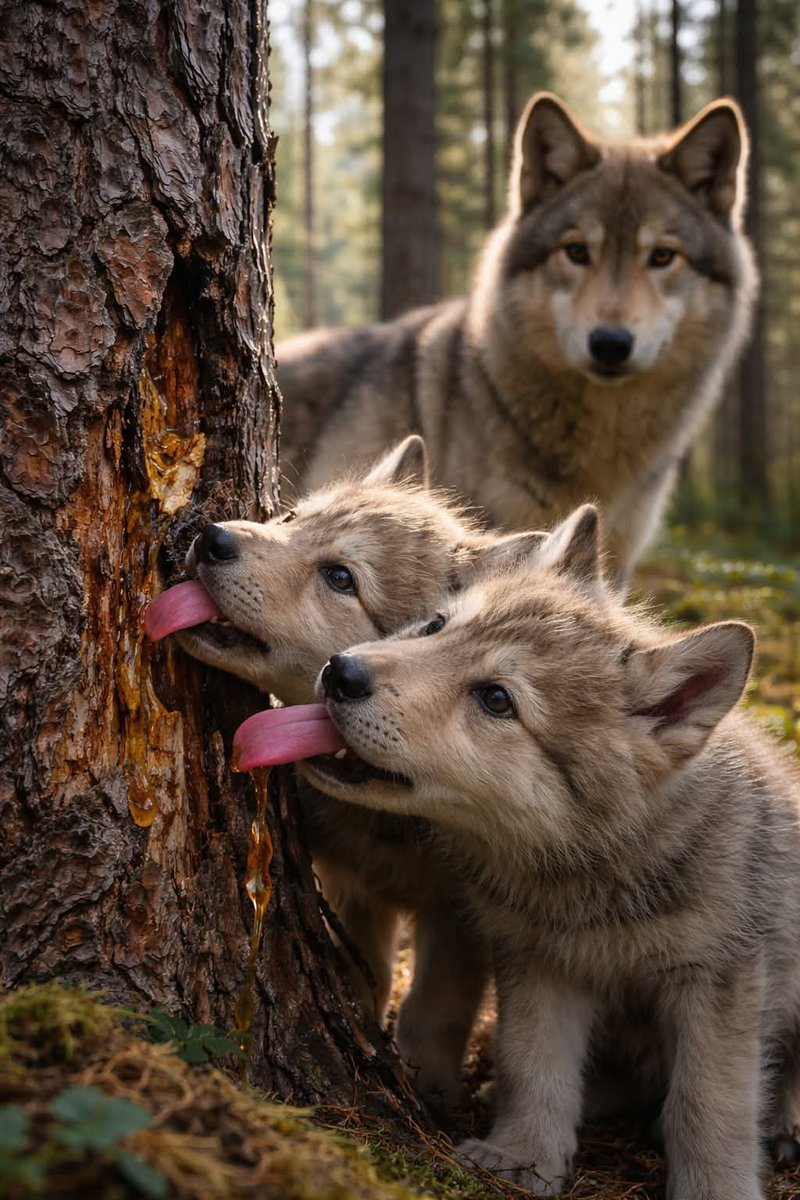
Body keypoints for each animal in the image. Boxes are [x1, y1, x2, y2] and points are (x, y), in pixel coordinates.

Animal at [145, 435, 576, 1105]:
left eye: (341, 577)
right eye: (292, 519)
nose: (211, 537)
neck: (392, 821)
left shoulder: (462, 921)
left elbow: (435, 1009)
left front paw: (427, 1089)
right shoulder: (352, 889)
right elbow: (366, 980)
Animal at [298, 508, 800, 1199]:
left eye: (496, 700)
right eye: (436, 625)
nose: (341, 670)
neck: (595, 879)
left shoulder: (720, 979)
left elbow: (710, 1103)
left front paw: (715, 1189)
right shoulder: (542, 963)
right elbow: (533, 1063)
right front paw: (523, 1156)